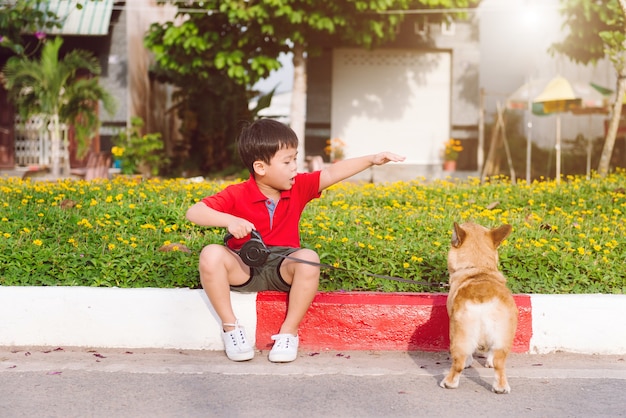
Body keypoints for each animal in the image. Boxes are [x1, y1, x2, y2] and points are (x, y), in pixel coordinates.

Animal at [436, 222, 516, 396]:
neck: (479, 268)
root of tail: (483, 298)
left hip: (460, 334)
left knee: (458, 362)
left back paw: (449, 383)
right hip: (504, 336)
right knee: (499, 362)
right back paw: (501, 387)